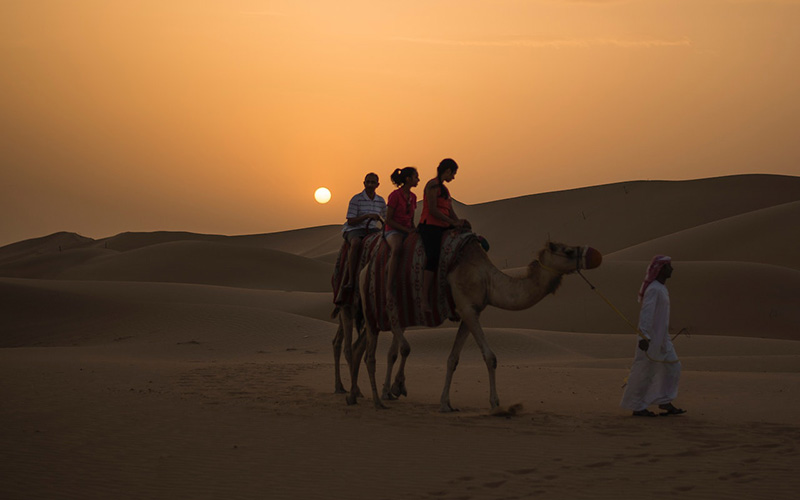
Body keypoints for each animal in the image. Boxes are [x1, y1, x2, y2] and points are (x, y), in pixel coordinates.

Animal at [348, 236, 600, 412]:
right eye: (568, 250)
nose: (595, 254)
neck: (488, 280)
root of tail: (363, 271)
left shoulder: (470, 312)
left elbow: (453, 359)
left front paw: (446, 404)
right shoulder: (468, 309)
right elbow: (490, 357)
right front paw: (496, 403)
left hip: (380, 316)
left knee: (363, 348)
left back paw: (354, 395)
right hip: (375, 310)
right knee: (380, 351)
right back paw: (384, 395)